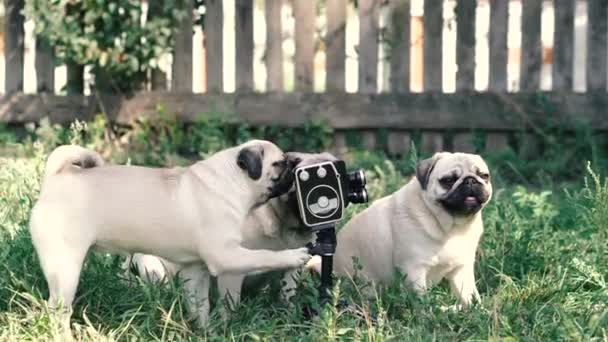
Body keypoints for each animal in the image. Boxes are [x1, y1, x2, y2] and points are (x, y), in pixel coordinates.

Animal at [28, 141, 312, 328]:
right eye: (280, 164)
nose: (293, 166)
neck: (230, 183)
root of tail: (55, 181)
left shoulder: (195, 269)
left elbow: (200, 305)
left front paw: (206, 331)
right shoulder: (226, 256)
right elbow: (264, 255)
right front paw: (294, 255)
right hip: (65, 266)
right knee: (58, 309)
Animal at [124, 152, 340, 318]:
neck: (284, 226)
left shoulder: (292, 269)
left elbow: (287, 294)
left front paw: (288, 315)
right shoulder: (231, 269)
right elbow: (230, 305)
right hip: (152, 268)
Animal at [308, 152, 494, 308]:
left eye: (484, 176)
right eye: (448, 180)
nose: (470, 180)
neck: (452, 227)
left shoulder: (461, 270)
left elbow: (469, 296)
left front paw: (478, 312)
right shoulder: (414, 270)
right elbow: (422, 303)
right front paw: (430, 315)